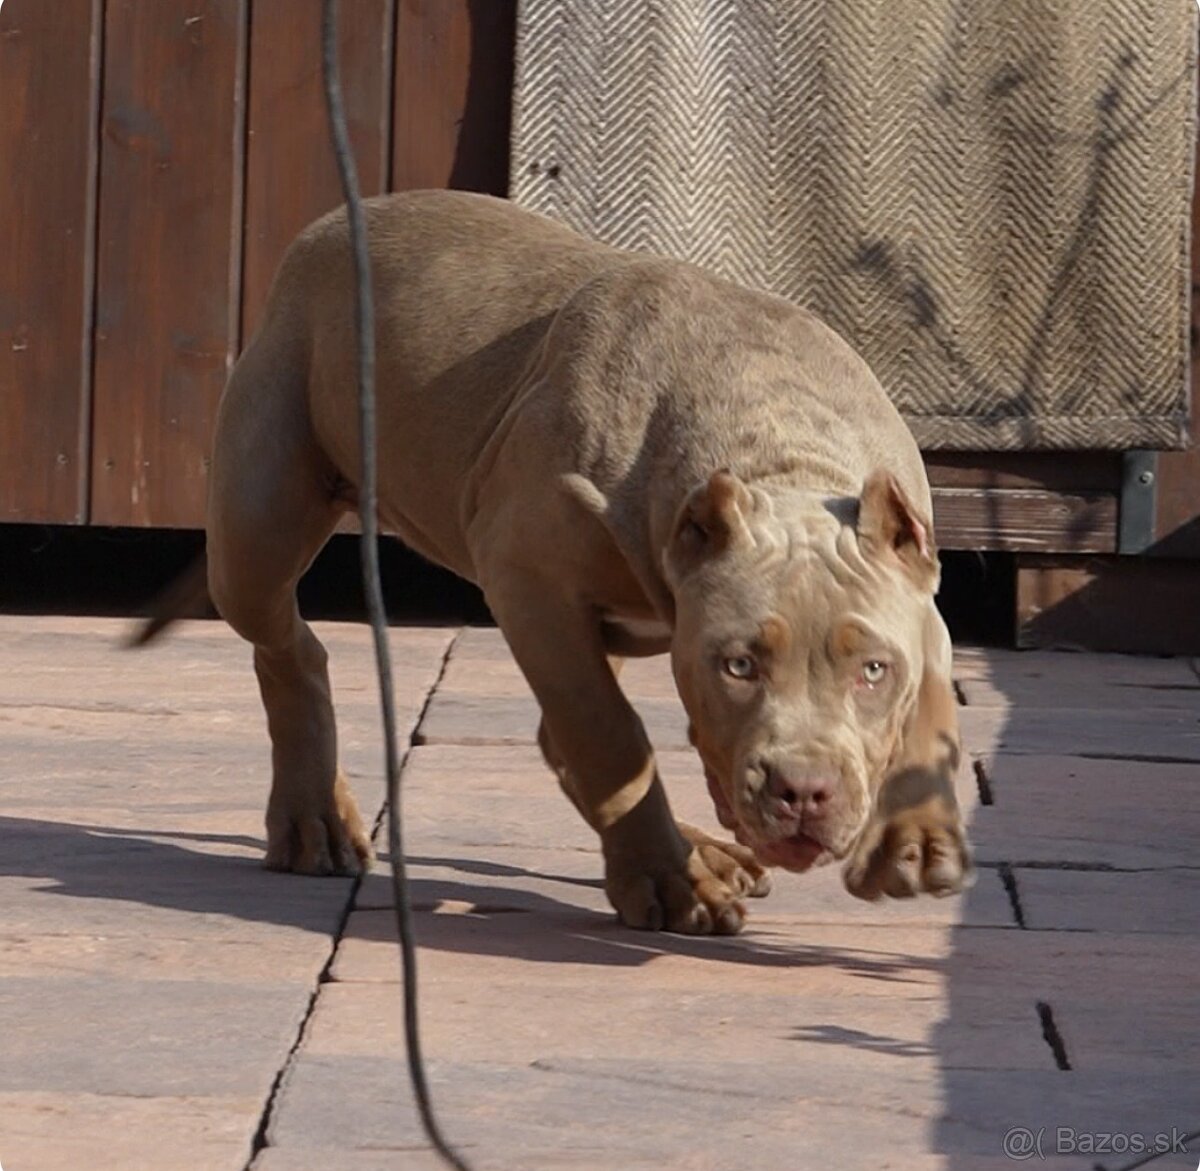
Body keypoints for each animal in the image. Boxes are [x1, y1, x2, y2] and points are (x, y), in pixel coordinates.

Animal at [133, 189, 974, 931]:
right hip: (261, 510)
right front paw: (667, 883)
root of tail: (335, 222)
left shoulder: (919, 593)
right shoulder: (528, 577)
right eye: (736, 665)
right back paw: (315, 819)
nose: (805, 791)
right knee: (286, 641)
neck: (778, 445)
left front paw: (913, 835)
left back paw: (705, 849)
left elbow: (933, 701)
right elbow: (608, 734)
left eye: (874, 671)